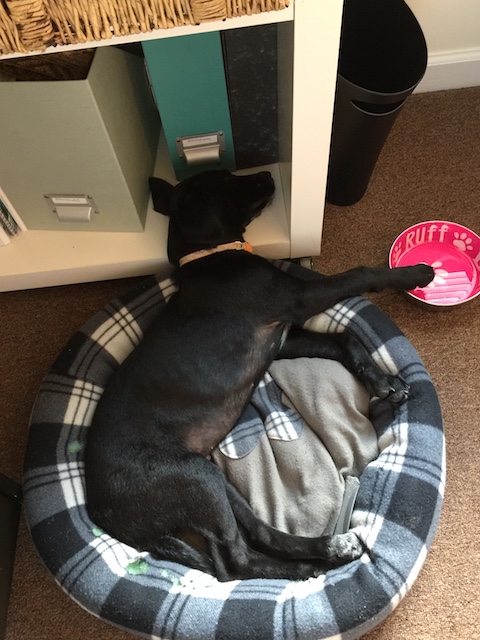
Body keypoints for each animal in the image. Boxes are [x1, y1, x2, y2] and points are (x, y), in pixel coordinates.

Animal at [84, 170, 434, 580]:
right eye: (224, 178)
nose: (268, 174)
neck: (210, 254)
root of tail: (101, 511)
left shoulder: (282, 338)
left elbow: (344, 338)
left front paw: (383, 382)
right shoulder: (299, 298)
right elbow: (361, 274)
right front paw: (417, 273)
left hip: (212, 478)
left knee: (258, 536)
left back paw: (327, 550)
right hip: (194, 477)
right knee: (234, 561)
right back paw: (309, 565)